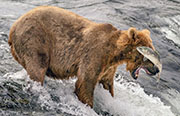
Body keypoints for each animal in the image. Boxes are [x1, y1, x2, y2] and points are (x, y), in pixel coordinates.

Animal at [8, 5, 159, 107]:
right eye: (148, 56)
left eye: (153, 49)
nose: (156, 69)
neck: (114, 53)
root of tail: (13, 27)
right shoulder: (95, 54)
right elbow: (85, 82)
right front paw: (89, 105)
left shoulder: (108, 67)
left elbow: (107, 83)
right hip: (35, 39)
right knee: (38, 67)